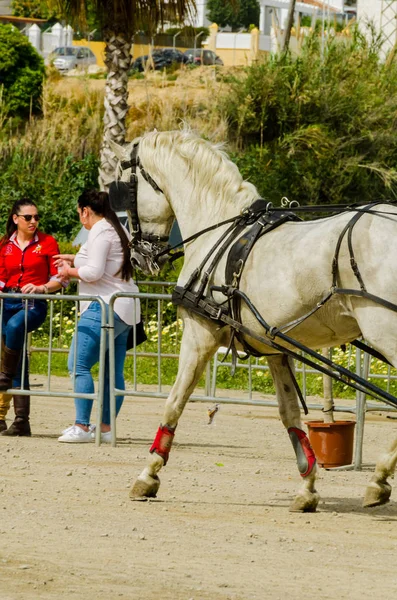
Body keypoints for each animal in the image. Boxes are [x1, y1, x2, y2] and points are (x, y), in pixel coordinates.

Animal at [109, 127, 396, 510]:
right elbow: (290, 415)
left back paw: (379, 478)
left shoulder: (199, 336)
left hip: (385, 332)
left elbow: (174, 404)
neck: (221, 231)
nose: (139, 257)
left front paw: (148, 476)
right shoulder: (275, 349)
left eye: (125, 189)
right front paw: (307, 487)